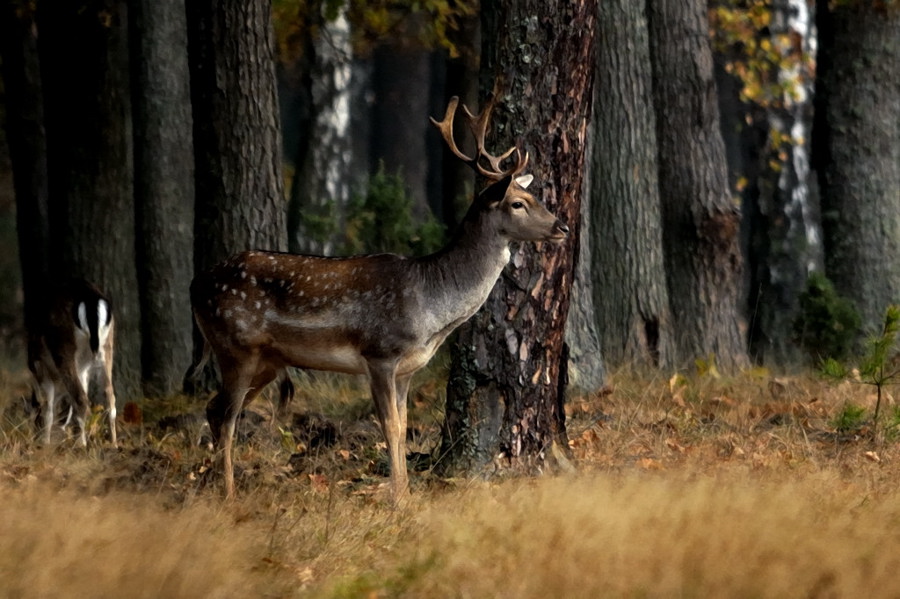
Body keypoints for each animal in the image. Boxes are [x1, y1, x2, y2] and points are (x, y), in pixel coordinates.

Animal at [192, 96, 568, 504]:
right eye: (517, 203)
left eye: (534, 196)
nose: (562, 226)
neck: (432, 310)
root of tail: (196, 283)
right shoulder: (380, 354)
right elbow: (388, 426)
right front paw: (398, 500)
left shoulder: (408, 369)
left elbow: (403, 427)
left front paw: (406, 495)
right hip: (236, 345)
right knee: (227, 415)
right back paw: (228, 494)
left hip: (267, 361)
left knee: (214, 409)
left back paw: (214, 485)